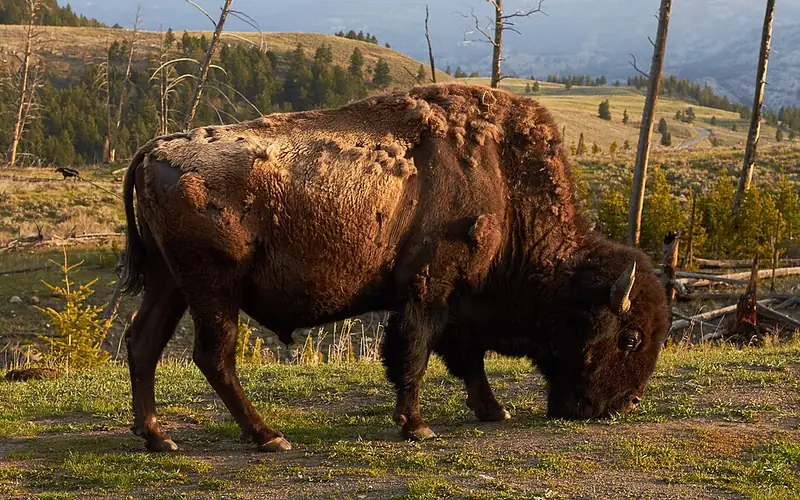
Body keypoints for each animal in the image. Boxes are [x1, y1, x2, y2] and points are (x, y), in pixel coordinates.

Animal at [120, 82, 668, 453]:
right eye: (630, 337)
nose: (628, 403)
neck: (503, 182)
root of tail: (154, 148)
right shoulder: (429, 289)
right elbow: (416, 354)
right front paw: (417, 426)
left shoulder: (457, 301)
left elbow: (465, 357)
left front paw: (494, 410)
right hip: (214, 287)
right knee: (213, 355)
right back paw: (268, 436)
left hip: (169, 283)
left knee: (143, 342)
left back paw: (158, 437)